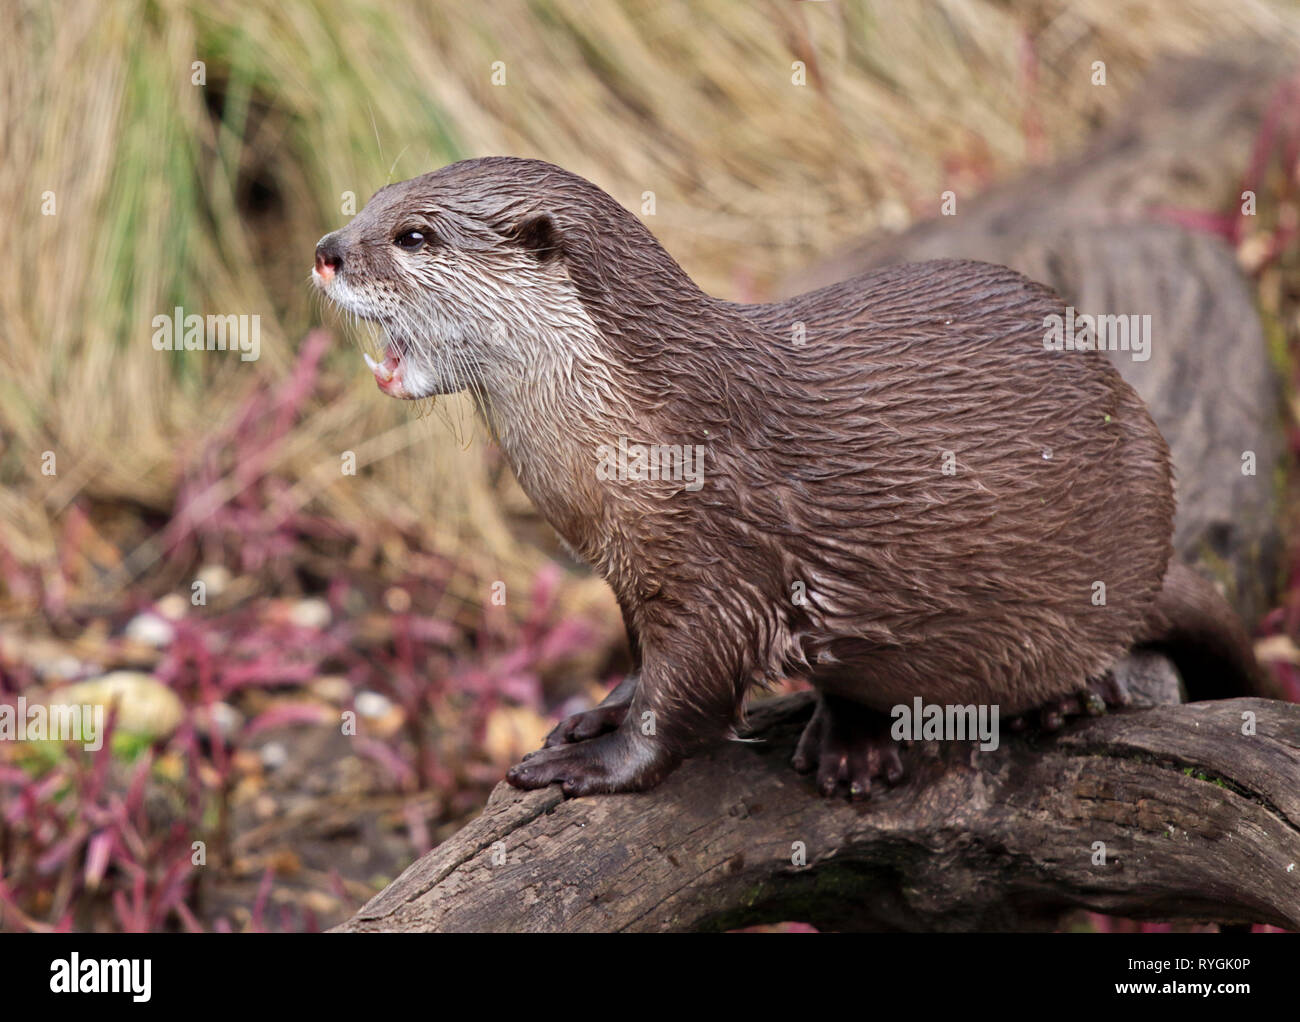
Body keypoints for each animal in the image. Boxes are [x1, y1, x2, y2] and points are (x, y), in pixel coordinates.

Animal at [312, 156, 1262, 798]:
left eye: (413, 236)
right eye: (374, 203)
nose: (326, 251)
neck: (637, 440)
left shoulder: (717, 566)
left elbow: (686, 697)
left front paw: (596, 760)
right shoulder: (632, 571)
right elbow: (643, 662)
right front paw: (600, 707)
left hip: (1128, 507)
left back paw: (1060, 702)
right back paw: (850, 741)